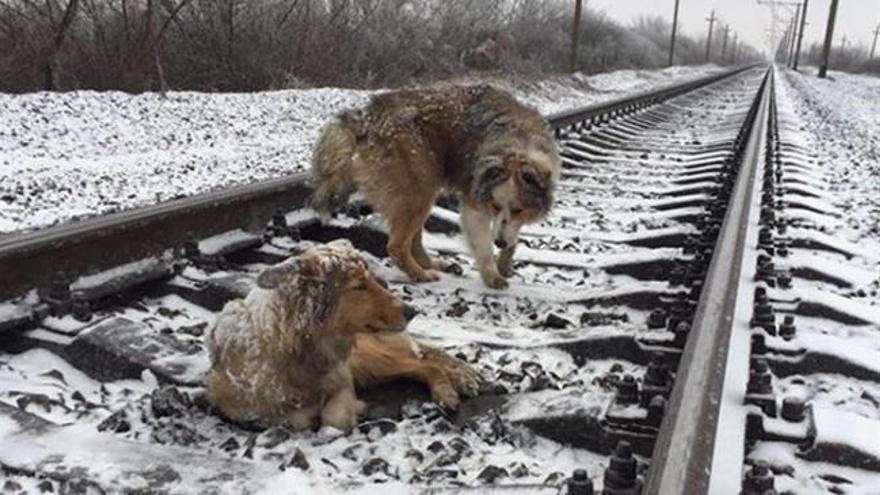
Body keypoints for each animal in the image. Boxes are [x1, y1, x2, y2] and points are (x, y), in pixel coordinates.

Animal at [205, 240, 482, 430]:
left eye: (372, 280)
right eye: (359, 286)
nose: (412, 311)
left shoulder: (343, 377)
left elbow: (333, 417)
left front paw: (352, 411)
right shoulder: (237, 405)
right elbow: (293, 417)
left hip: (370, 358)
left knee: (425, 364)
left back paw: (449, 390)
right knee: (423, 361)